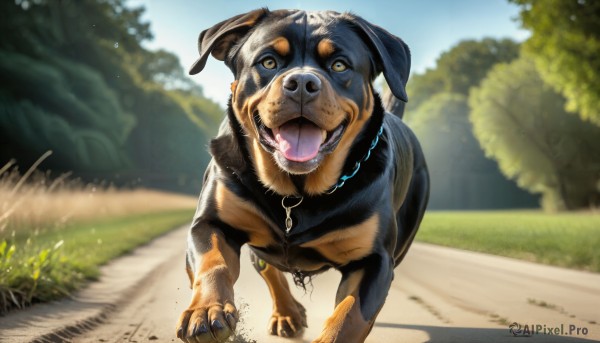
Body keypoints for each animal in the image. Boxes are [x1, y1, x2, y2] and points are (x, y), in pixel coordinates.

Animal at [176, 8, 428, 343]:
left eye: (339, 65)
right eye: (268, 62)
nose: (302, 82)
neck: (295, 194)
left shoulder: (375, 261)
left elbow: (350, 316)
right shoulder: (212, 222)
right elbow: (212, 264)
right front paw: (206, 311)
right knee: (268, 268)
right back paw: (288, 313)